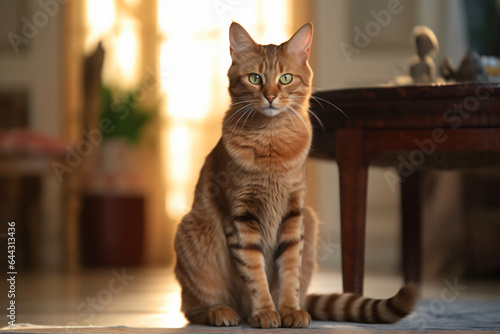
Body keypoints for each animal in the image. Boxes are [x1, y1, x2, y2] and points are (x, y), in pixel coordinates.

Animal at [173, 21, 418, 328]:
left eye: (286, 78)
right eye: (255, 78)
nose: (270, 95)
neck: (271, 142)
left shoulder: (293, 214)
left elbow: (289, 272)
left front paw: (288, 310)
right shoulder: (241, 217)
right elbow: (255, 274)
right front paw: (266, 312)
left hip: (309, 222)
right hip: (193, 234)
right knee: (191, 308)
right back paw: (222, 312)